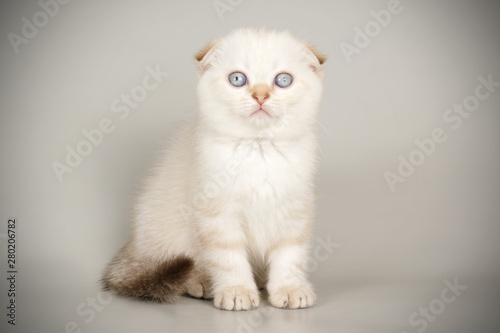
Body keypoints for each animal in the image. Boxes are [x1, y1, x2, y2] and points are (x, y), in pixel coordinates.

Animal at [103, 27, 326, 310]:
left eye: (283, 80)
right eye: (238, 79)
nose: (260, 95)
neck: (258, 149)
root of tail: (133, 247)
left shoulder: (294, 210)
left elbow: (290, 254)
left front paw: (289, 288)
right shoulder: (217, 213)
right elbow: (228, 258)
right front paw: (237, 291)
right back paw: (203, 283)